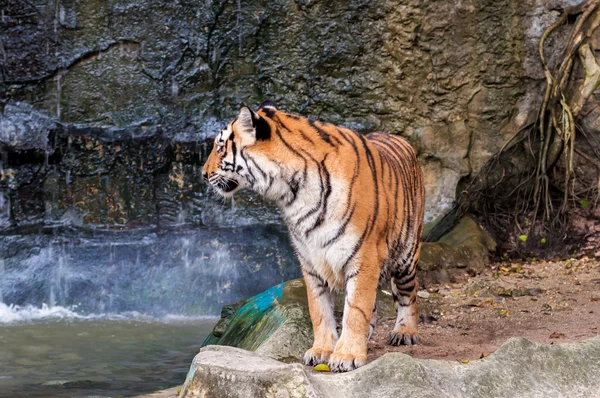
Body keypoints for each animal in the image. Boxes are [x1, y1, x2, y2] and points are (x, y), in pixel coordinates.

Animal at [203, 100, 426, 374]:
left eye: (220, 147)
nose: (203, 174)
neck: (292, 194)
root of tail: (399, 138)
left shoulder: (364, 257)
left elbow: (355, 309)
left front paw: (347, 355)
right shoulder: (310, 260)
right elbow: (319, 310)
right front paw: (322, 351)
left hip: (406, 256)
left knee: (408, 296)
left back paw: (405, 332)